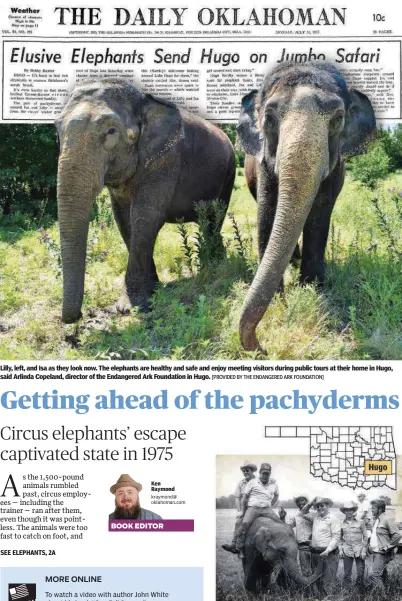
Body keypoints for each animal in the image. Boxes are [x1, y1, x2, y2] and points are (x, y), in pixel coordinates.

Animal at [55, 81, 234, 324]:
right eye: (57, 130)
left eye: (111, 131)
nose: (78, 316)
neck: (144, 101)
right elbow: (124, 220)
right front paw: (152, 290)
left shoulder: (165, 158)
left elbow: (145, 217)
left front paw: (129, 307)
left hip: (229, 172)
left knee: (216, 216)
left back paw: (215, 264)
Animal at [237, 62, 376, 350]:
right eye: (268, 119)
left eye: (338, 119)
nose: (263, 347)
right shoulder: (263, 162)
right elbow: (268, 210)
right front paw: (281, 300)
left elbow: (320, 212)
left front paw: (313, 290)